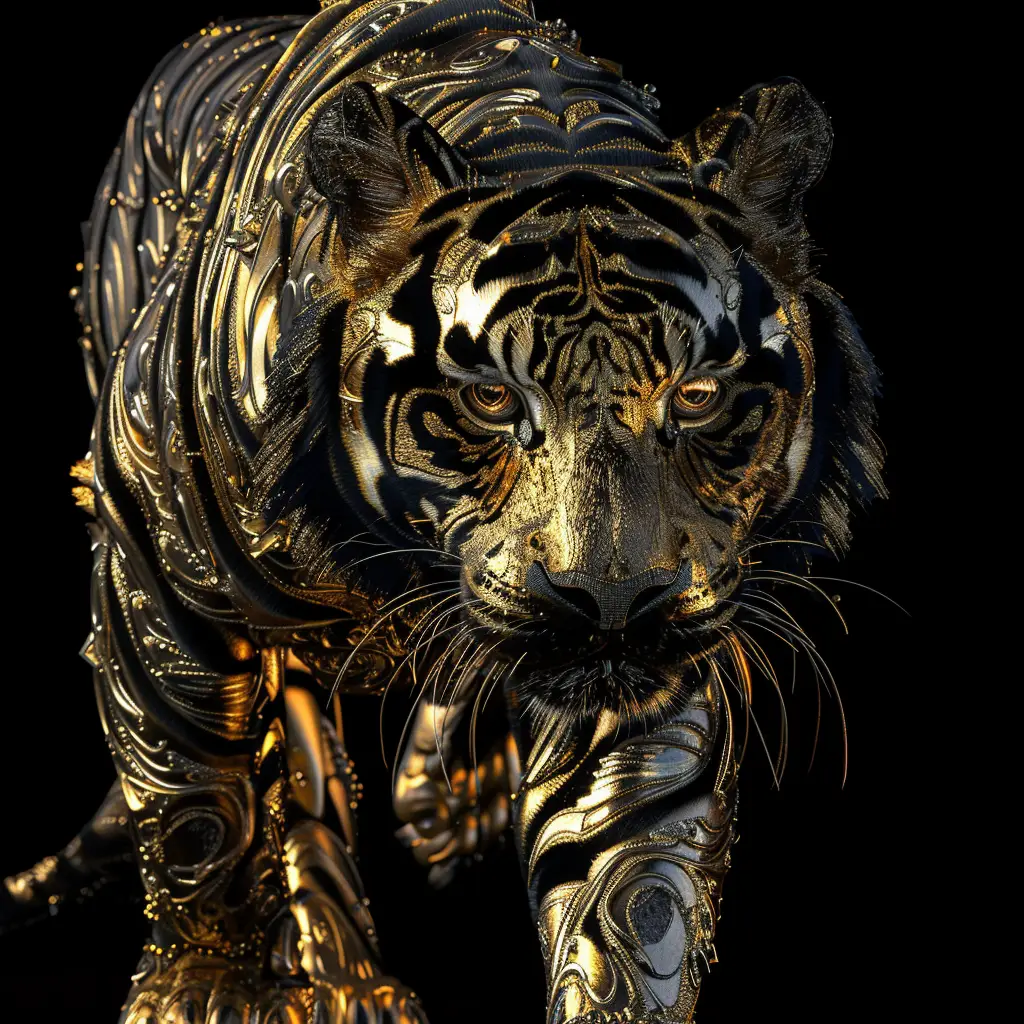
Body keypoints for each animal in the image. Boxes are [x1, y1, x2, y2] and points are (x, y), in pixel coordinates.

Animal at [0, 1, 884, 1022]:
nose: (614, 600)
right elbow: (197, 805)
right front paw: (205, 990)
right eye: (492, 399)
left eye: (695, 396)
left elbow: (632, 887)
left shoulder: (653, 657)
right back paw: (350, 978)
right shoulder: (155, 557)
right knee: (295, 786)